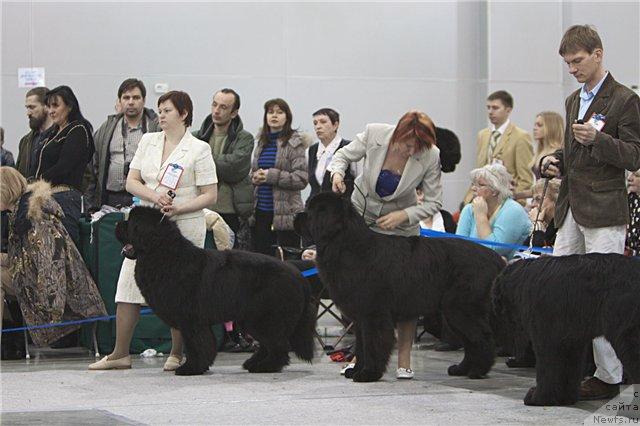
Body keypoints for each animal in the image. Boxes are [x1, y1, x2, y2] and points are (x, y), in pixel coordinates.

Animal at [116, 206, 316, 376]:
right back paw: (253, 363)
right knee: (269, 344)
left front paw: (191, 368)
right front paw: (199, 366)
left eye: (131, 223)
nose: (117, 224)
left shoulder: (191, 320)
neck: (163, 254)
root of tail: (297, 274)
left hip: (265, 318)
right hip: (250, 318)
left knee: (278, 345)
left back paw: (265, 367)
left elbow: (196, 344)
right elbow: (202, 344)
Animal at [296, 191, 504, 382]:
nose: (297, 215)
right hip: (454, 312)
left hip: (462, 308)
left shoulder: (373, 313)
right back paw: (461, 369)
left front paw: (368, 374)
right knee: (471, 342)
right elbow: (361, 345)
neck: (347, 245)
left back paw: (477, 371)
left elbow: (373, 344)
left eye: (315, 211)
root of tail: (495, 258)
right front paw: (356, 370)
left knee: (483, 338)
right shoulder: (361, 316)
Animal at [496, 253, 640, 406]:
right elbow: (568, 371)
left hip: (628, 339)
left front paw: (538, 398)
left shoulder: (545, 338)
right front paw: (565, 398)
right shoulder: (571, 341)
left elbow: (546, 369)